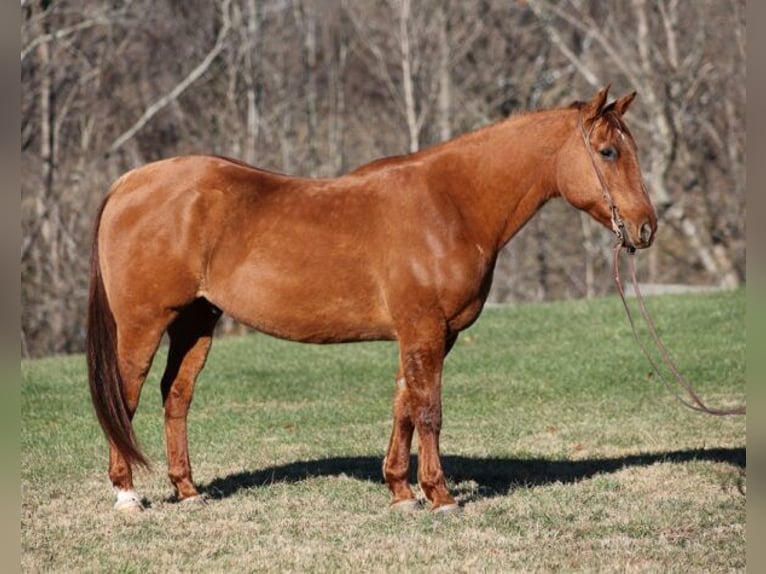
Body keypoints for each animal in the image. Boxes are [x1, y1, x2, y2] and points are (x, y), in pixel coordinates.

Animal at [85, 84, 660, 512]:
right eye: (608, 152)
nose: (645, 228)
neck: (450, 203)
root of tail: (129, 183)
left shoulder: (428, 334)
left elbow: (403, 405)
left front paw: (402, 490)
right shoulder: (424, 328)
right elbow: (428, 410)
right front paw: (440, 496)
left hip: (195, 321)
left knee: (176, 396)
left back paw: (187, 490)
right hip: (143, 324)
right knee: (125, 397)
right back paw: (127, 495)